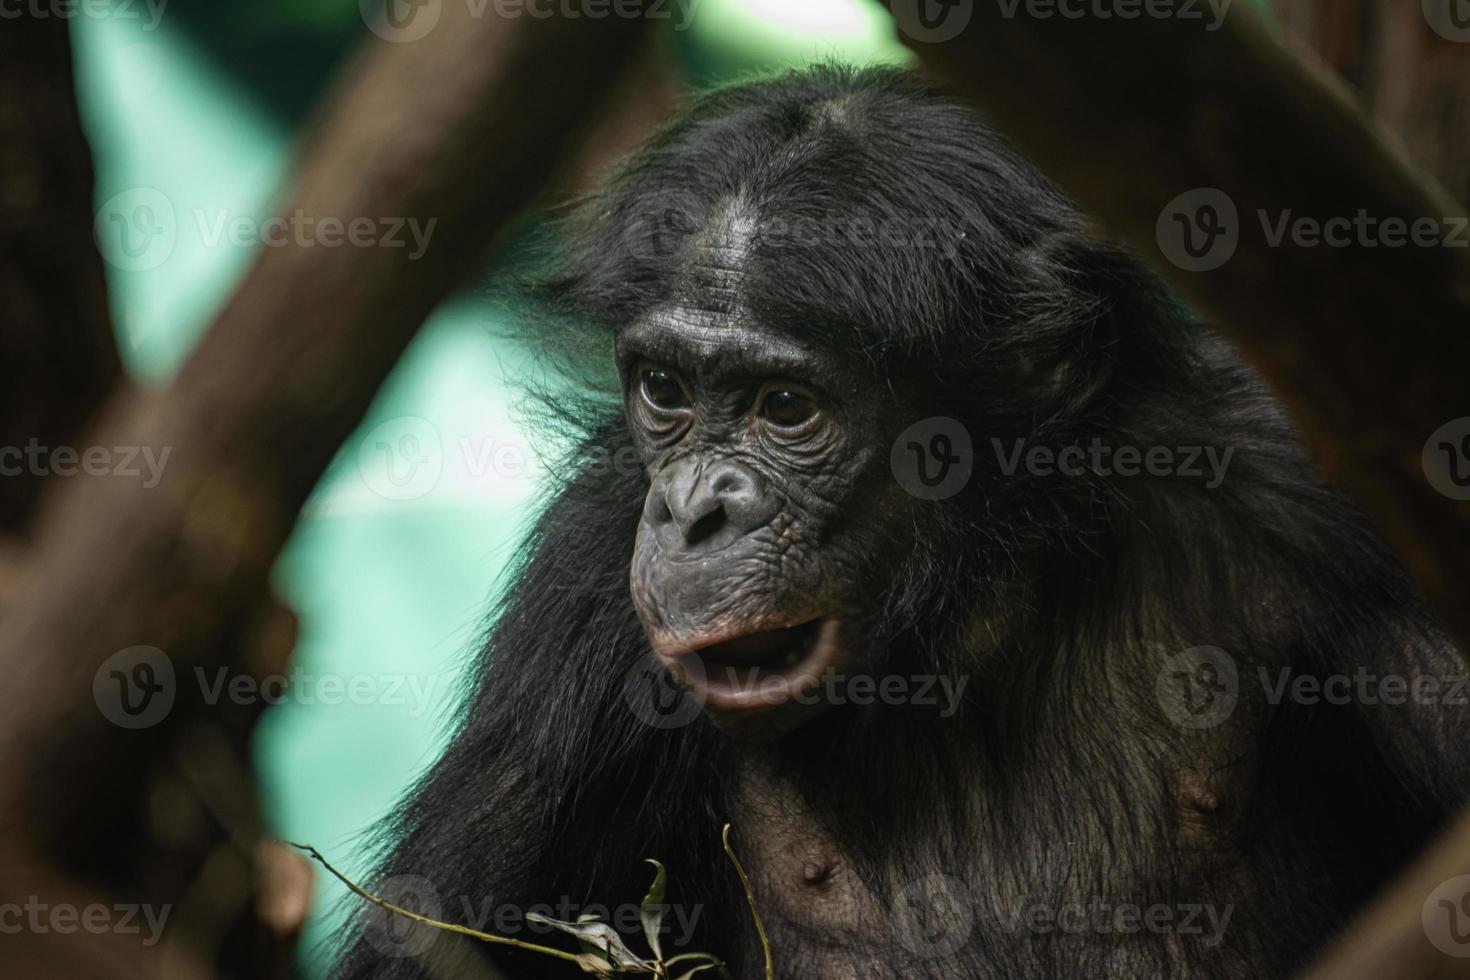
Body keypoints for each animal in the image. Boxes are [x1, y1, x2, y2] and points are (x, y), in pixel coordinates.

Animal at [333, 65, 1470, 975]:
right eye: (665, 389)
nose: (694, 512)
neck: (972, 609)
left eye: (786, 407)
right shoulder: (577, 598)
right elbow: (430, 939)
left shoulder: (1322, 505)